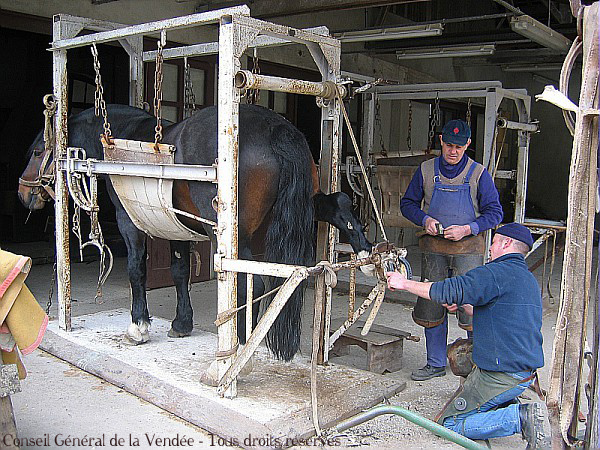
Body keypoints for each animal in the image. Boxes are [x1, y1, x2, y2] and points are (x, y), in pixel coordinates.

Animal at [18, 103, 372, 362]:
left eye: (36, 151)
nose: (24, 193)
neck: (123, 144)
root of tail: (276, 128)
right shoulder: (175, 227)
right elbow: (179, 271)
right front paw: (181, 323)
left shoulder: (129, 223)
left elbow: (136, 270)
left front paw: (138, 326)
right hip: (305, 204)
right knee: (338, 203)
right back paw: (366, 252)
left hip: (236, 235)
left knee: (250, 280)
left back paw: (239, 343)